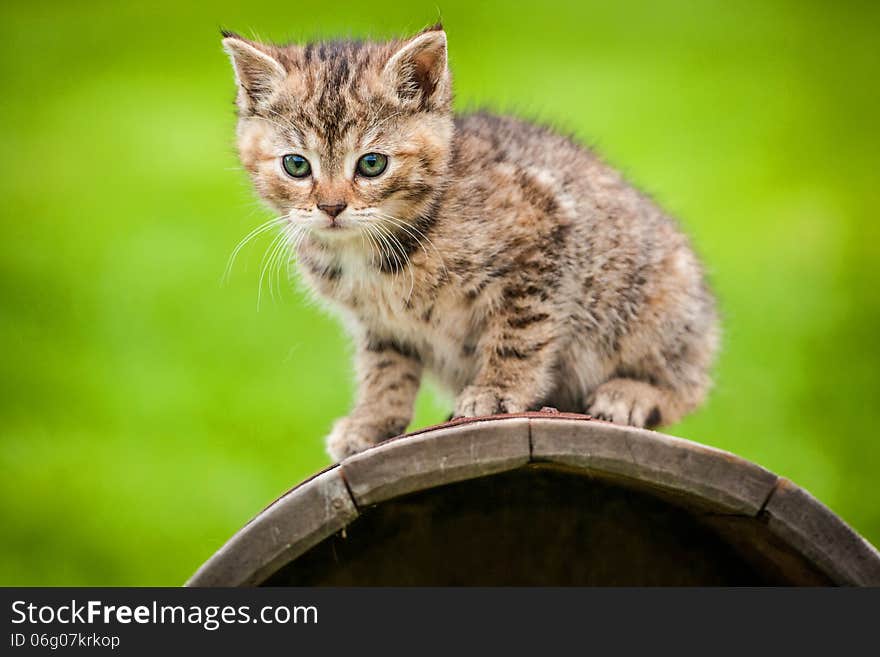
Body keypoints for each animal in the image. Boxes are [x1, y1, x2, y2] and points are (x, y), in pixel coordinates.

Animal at [218, 24, 716, 456]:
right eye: (296, 165)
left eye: (372, 164)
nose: (332, 207)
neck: (371, 250)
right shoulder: (379, 323)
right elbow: (384, 368)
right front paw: (373, 421)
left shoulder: (542, 234)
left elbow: (520, 331)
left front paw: (497, 390)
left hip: (657, 299)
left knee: (692, 381)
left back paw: (634, 394)